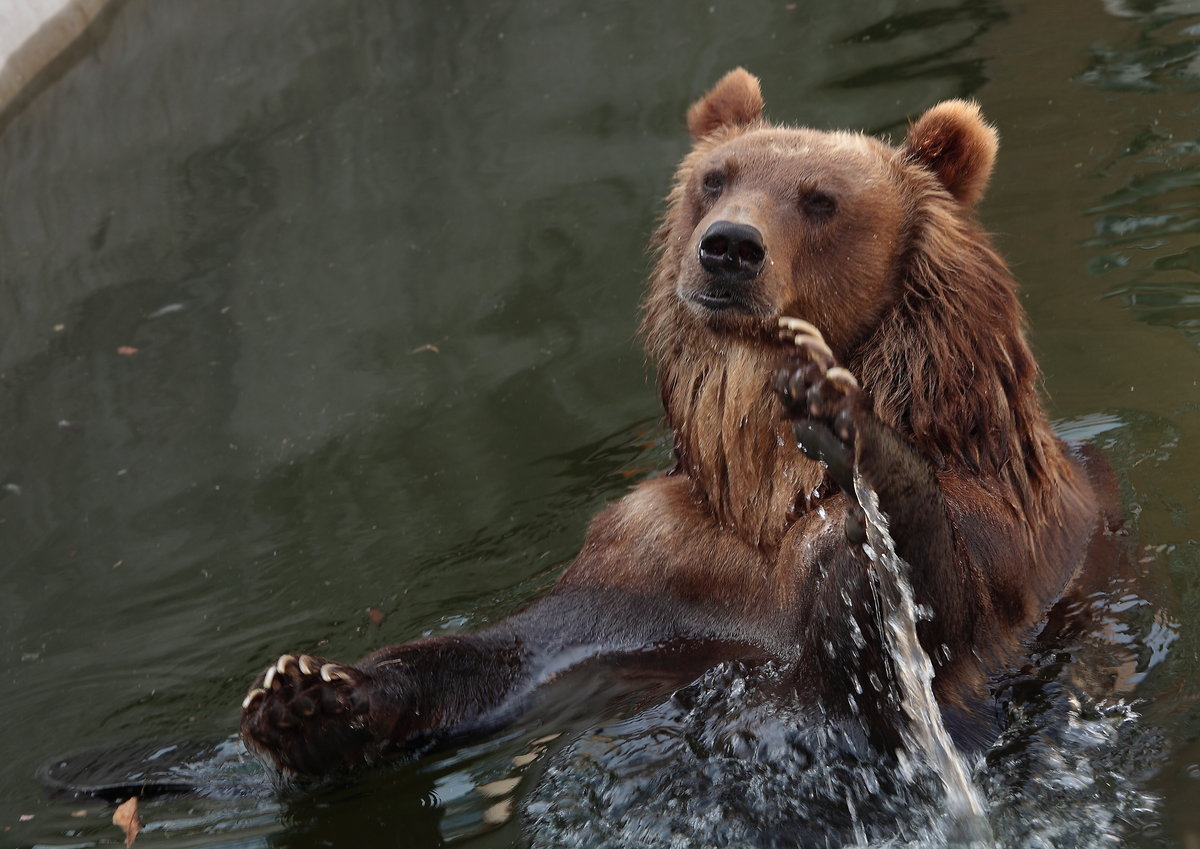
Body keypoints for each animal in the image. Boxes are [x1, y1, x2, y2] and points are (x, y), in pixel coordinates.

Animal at [239, 68, 1117, 781]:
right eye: (715, 178)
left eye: (820, 198)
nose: (728, 245)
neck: (762, 493)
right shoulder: (658, 569)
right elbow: (516, 653)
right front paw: (307, 697)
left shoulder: (1016, 539)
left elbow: (937, 630)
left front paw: (846, 447)